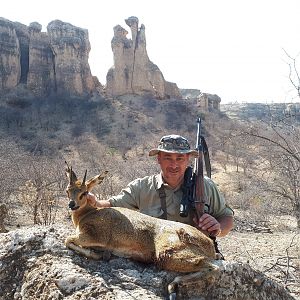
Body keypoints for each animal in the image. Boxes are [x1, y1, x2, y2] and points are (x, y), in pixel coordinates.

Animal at [65, 165, 218, 298]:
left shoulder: (93, 237)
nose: (72, 204)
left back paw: (172, 285)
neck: (87, 214)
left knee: (213, 267)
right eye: (68, 190)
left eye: (84, 192)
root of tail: (208, 243)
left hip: (168, 254)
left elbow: (67, 240)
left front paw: (95, 254)